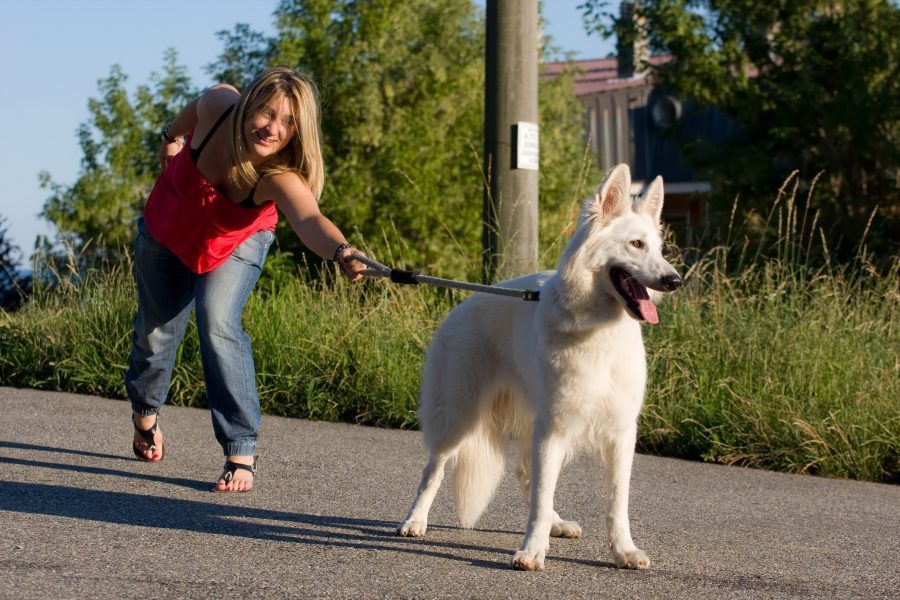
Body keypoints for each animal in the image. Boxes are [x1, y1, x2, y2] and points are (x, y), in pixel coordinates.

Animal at [396, 164, 684, 572]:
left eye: (658, 249)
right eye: (636, 245)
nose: (675, 281)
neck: (597, 330)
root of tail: (458, 310)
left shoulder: (619, 434)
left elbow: (616, 502)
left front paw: (623, 551)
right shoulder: (554, 428)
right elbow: (541, 499)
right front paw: (533, 549)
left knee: (525, 474)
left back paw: (557, 524)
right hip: (459, 420)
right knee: (433, 471)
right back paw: (415, 520)